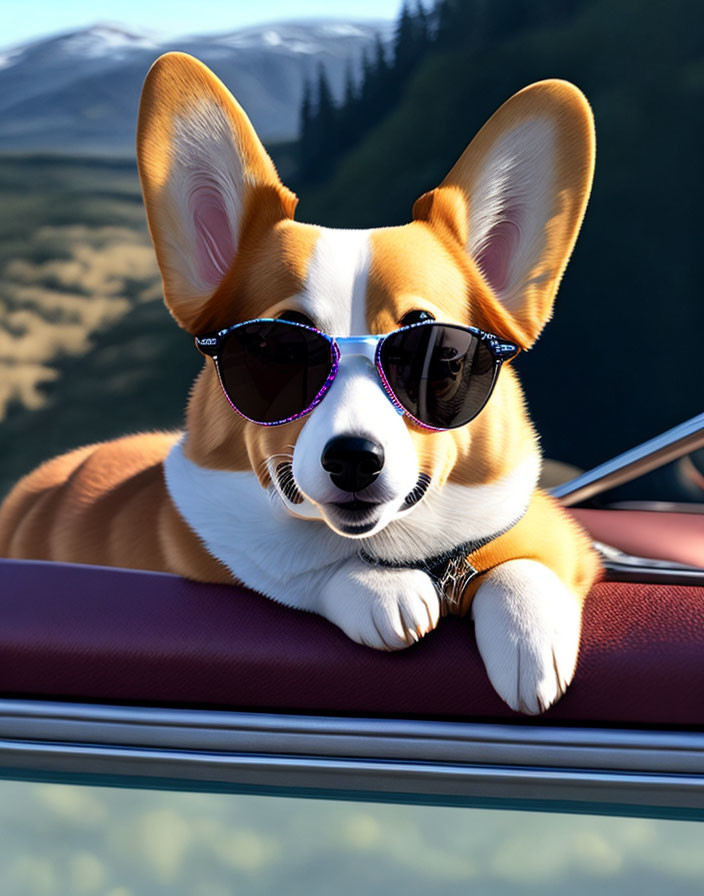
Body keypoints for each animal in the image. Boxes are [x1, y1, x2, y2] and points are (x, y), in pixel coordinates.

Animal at [0, 54, 600, 712]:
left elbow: (527, 562)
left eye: (439, 355)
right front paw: (377, 590)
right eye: (276, 351)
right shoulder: (220, 539)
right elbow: (296, 565)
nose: (354, 459)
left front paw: (529, 635)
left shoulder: (554, 536)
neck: (402, 548)